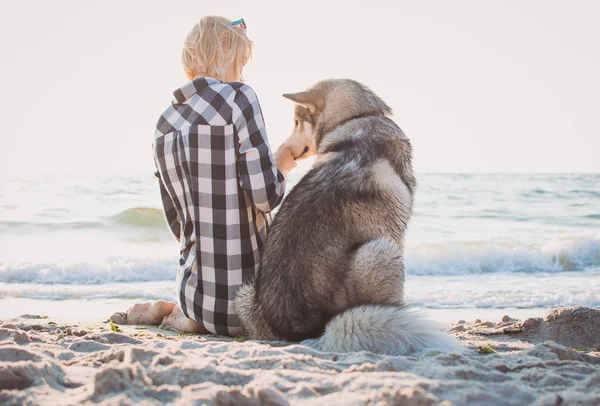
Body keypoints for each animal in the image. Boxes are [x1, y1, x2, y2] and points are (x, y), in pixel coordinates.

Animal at [234, 79, 460, 356]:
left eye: (297, 123)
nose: (287, 150)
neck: (358, 118)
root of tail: (307, 331)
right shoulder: (395, 233)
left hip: (245, 293)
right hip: (383, 251)